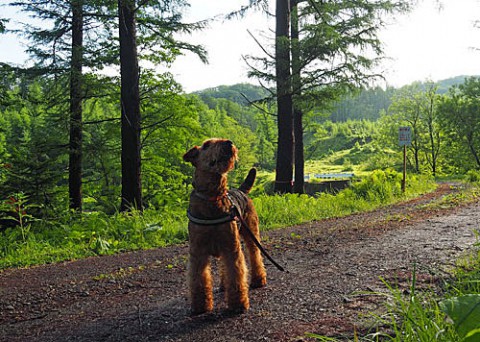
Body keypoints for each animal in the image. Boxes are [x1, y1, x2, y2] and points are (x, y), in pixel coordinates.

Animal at [183, 138, 268, 314]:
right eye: (207, 145)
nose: (229, 142)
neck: (212, 197)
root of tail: (241, 190)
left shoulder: (232, 249)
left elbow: (236, 276)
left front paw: (238, 304)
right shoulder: (198, 252)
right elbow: (198, 280)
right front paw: (200, 305)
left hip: (251, 234)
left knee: (255, 256)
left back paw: (258, 280)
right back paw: (223, 285)